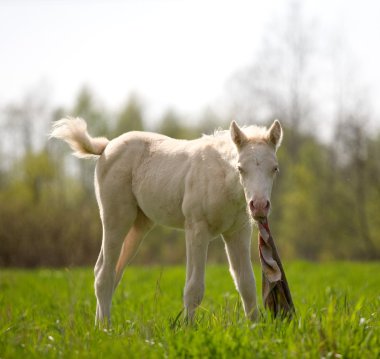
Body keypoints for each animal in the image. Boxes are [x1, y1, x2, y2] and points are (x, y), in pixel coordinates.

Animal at [50, 119, 282, 326]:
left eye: (275, 168)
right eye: (241, 168)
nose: (259, 206)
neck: (222, 179)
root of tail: (106, 146)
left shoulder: (238, 232)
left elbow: (247, 284)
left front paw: (254, 330)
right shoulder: (196, 229)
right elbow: (194, 288)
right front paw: (189, 331)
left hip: (139, 225)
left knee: (112, 271)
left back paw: (99, 325)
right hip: (116, 218)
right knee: (104, 274)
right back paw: (105, 329)